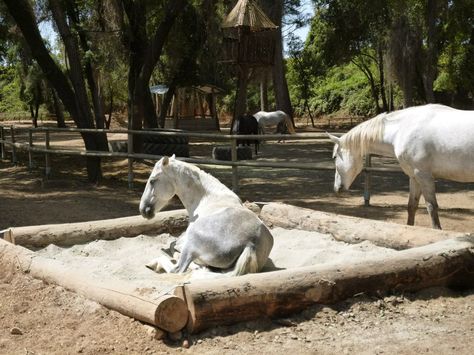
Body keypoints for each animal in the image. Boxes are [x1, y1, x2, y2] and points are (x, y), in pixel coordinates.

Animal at [139, 155, 272, 276]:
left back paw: (155, 263)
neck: (207, 198)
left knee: (178, 269)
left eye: (152, 180)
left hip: (190, 244)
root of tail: (250, 243)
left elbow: (173, 245)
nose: (143, 210)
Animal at [328, 104, 474, 229]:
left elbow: (432, 207)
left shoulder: (424, 176)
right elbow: (412, 206)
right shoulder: (414, 177)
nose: (336, 188)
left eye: (334, 157)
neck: (402, 129)